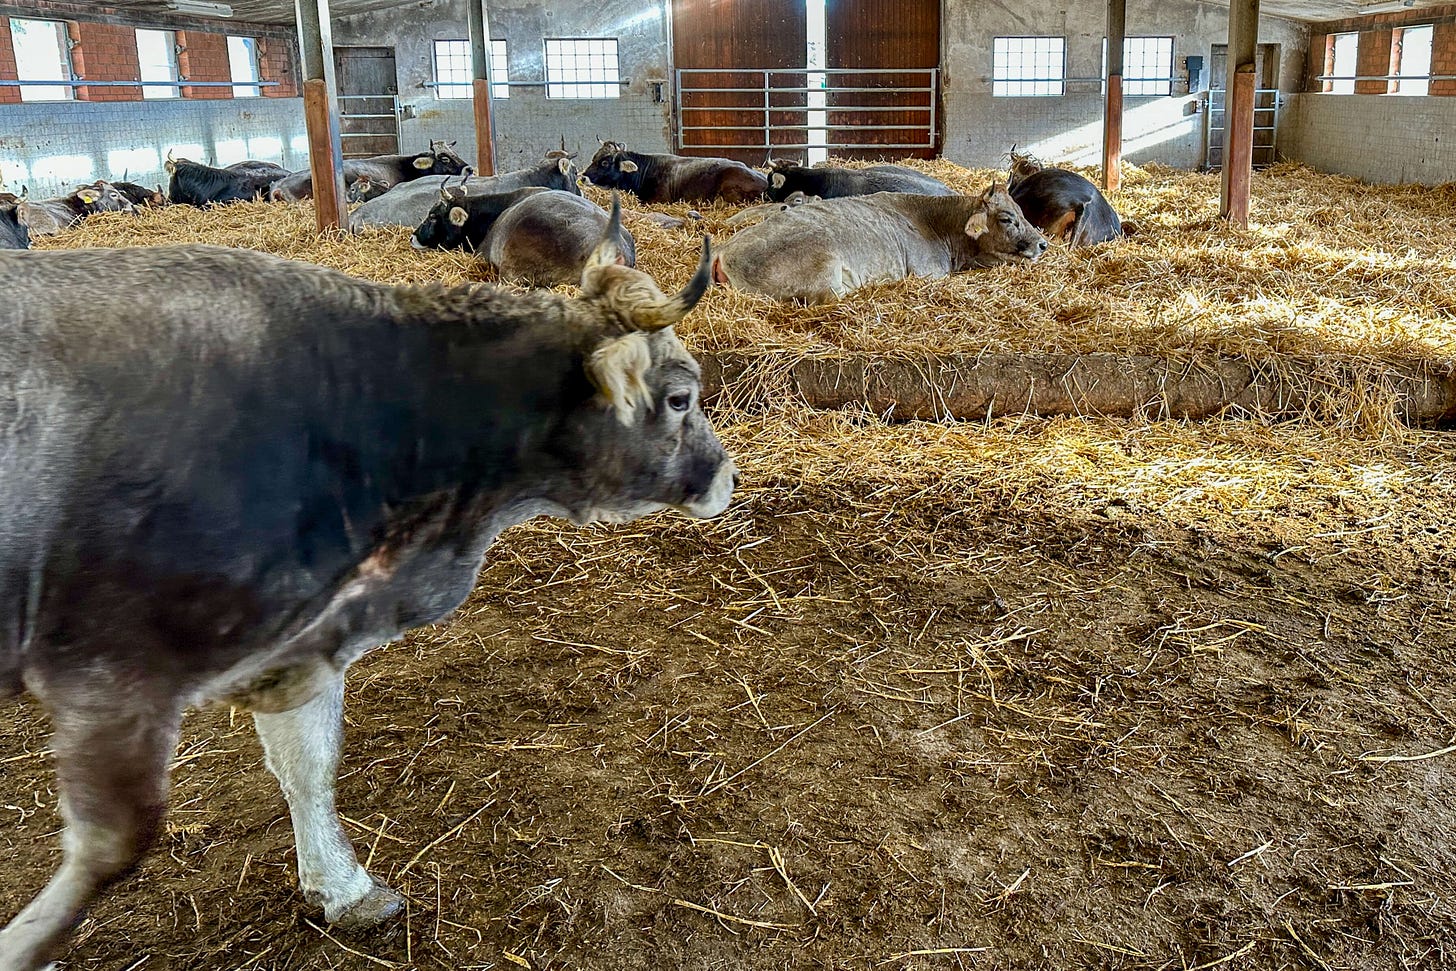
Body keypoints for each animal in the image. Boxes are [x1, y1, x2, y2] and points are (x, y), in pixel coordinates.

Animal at [0, 208, 733, 971]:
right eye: (679, 397)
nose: (725, 476)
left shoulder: (294, 641)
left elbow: (307, 762)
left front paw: (343, 888)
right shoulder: (112, 669)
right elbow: (114, 842)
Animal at [713, 185, 1047, 304]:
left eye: (1022, 212)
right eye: (1007, 219)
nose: (1043, 244)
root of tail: (724, 250)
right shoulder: (928, 273)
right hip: (826, 276)